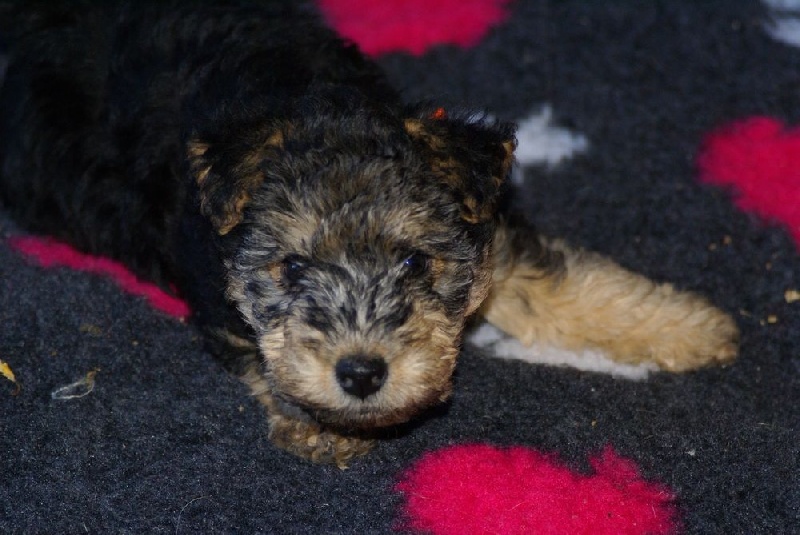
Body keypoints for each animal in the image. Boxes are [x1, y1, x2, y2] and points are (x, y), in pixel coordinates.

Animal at [0, 1, 738, 466]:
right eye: (293, 268)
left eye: (413, 262)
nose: (360, 373)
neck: (302, 100)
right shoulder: (217, 287)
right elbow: (267, 356)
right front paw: (321, 426)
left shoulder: (487, 233)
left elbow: (566, 281)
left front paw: (689, 326)